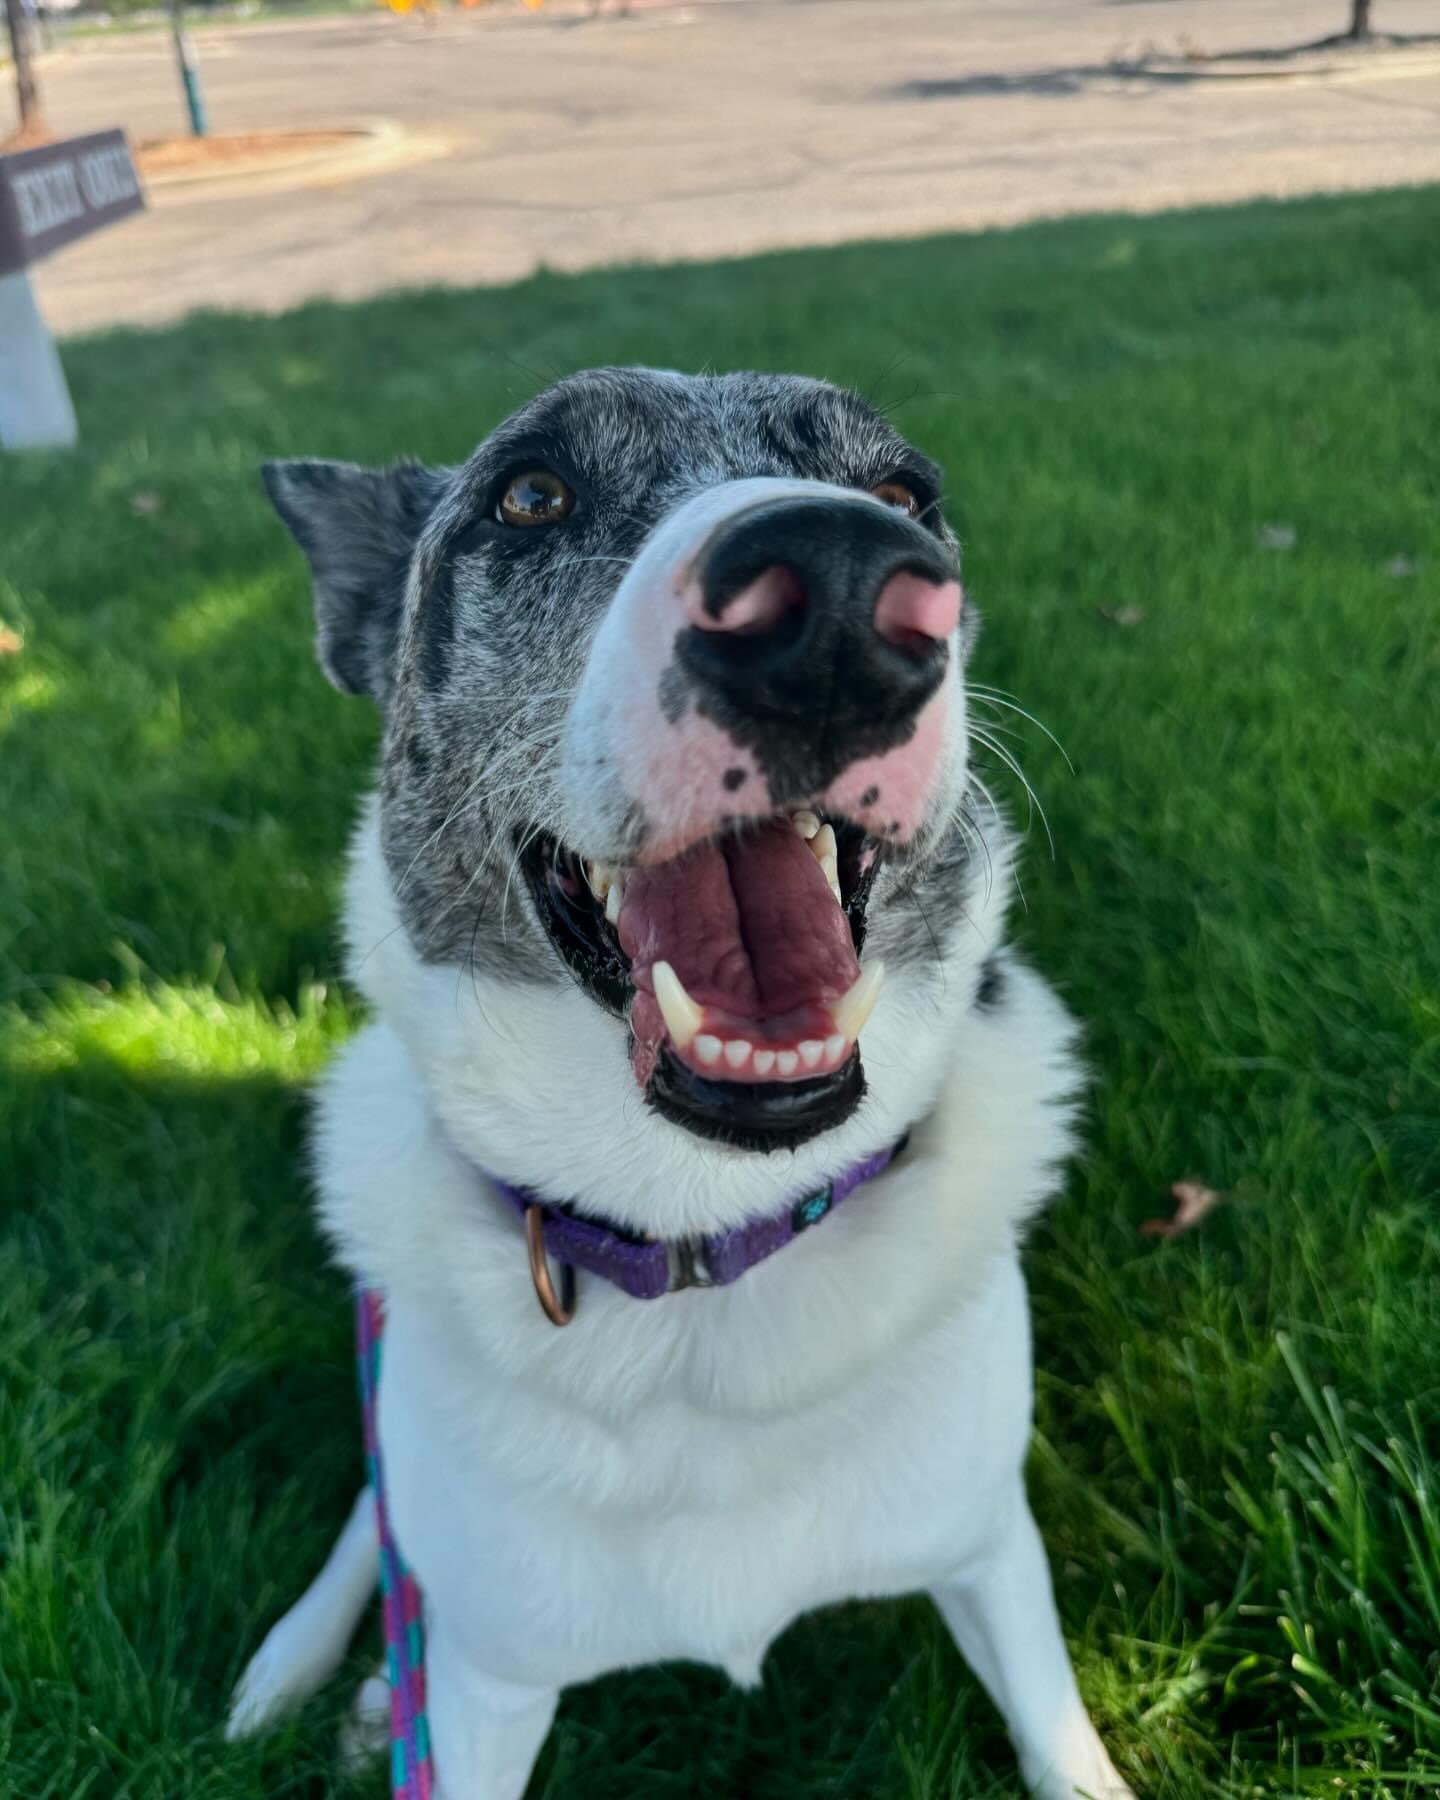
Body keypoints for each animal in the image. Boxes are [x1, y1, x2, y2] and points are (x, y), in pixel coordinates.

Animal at [227, 369, 1137, 1800]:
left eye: (903, 493)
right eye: (531, 494)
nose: (843, 595)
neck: (706, 1242)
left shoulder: (994, 1548)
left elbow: (1060, 1742)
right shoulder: (486, 1688)